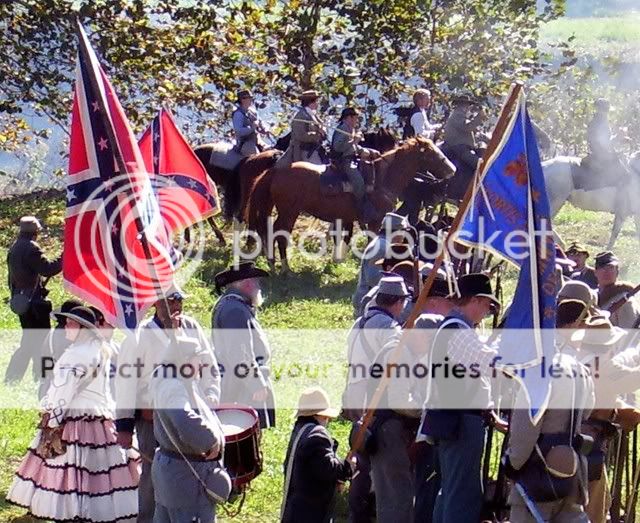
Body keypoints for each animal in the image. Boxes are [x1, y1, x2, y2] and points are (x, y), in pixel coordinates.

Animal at [245, 137, 456, 271]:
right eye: (431, 153)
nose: (452, 170)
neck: (382, 178)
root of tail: (275, 171)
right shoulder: (375, 220)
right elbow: (372, 241)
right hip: (290, 211)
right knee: (280, 234)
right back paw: (285, 268)